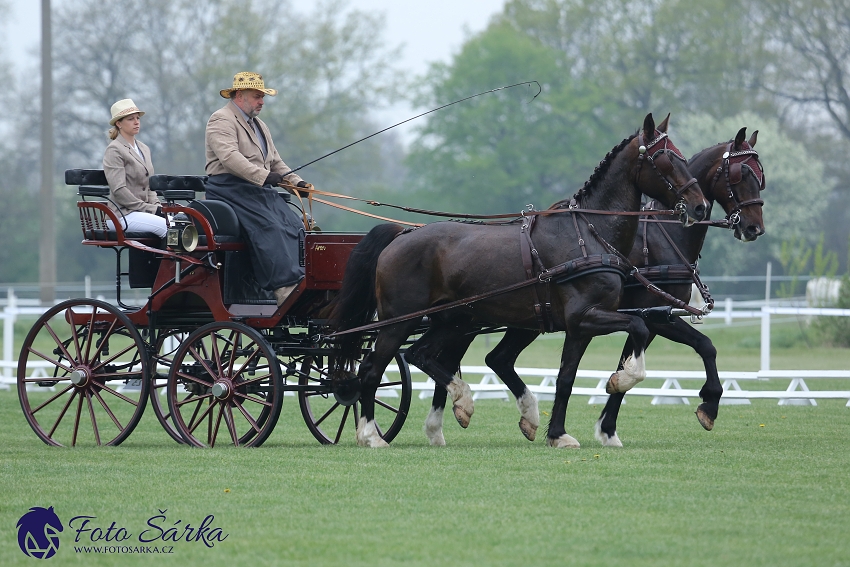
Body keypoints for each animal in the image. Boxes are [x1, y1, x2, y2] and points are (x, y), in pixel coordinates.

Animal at [328, 114, 704, 448]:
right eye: (664, 158)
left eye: (682, 156)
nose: (699, 207)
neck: (588, 234)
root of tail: (401, 234)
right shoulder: (585, 316)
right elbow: (637, 329)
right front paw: (619, 380)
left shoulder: (581, 326)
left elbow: (566, 377)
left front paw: (558, 434)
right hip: (398, 322)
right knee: (372, 370)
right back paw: (373, 434)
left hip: (454, 321)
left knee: (419, 355)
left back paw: (461, 405)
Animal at [422, 129, 760, 448]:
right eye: (740, 174)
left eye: (761, 176)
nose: (754, 227)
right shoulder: (650, 317)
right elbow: (638, 362)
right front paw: (607, 424)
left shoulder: (654, 316)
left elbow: (702, 346)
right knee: (450, 360)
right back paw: (446, 419)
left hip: (514, 320)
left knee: (491, 359)